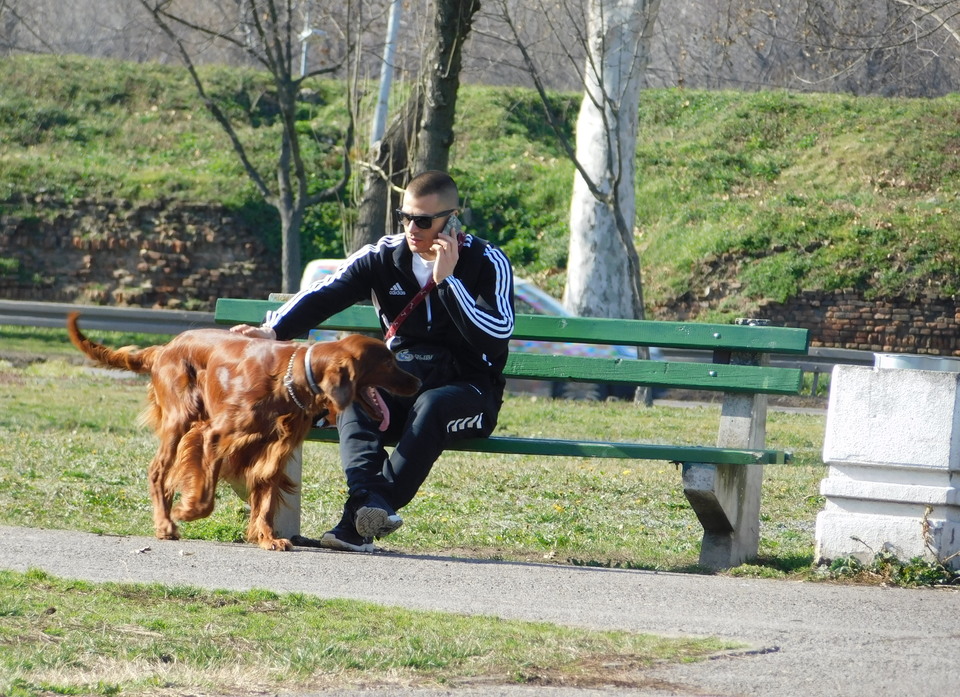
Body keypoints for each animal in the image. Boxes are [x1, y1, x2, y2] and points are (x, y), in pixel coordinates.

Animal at [67, 314, 420, 548]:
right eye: (387, 362)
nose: (417, 382)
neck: (289, 378)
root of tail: (165, 347)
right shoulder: (215, 436)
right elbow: (206, 495)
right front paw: (188, 510)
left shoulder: (274, 449)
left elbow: (265, 495)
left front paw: (267, 537)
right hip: (180, 420)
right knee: (158, 470)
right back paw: (166, 524)